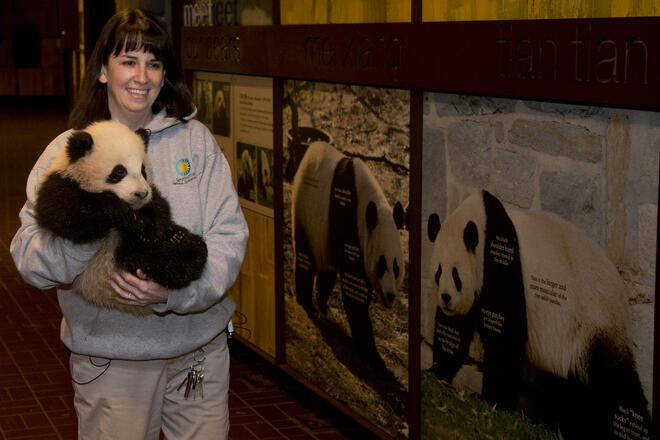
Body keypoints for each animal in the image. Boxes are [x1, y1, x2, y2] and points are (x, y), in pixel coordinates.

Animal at [33, 118, 208, 314]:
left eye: (143, 169)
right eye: (119, 171)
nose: (141, 194)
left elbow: (158, 206)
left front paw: (153, 227)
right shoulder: (59, 186)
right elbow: (69, 214)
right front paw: (130, 219)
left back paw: (179, 239)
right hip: (119, 260)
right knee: (153, 262)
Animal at [292, 141, 404, 368]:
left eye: (396, 267)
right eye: (382, 264)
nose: (390, 295)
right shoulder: (347, 222)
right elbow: (356, 295)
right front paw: (374, 357)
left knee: (327, 271)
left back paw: (324, 306)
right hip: (306, 213)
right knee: (306, 259)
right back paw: (306, 301)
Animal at [428, 190, 648, 440]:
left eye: (456, 275)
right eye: (438, 273)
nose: (445, 298)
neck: (479, 220)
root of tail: (622, 296)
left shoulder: (501, 262)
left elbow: (505, 337)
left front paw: (492, 400)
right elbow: (453, 329)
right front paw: (437, 371)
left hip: (595, 319)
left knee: (614, 382)